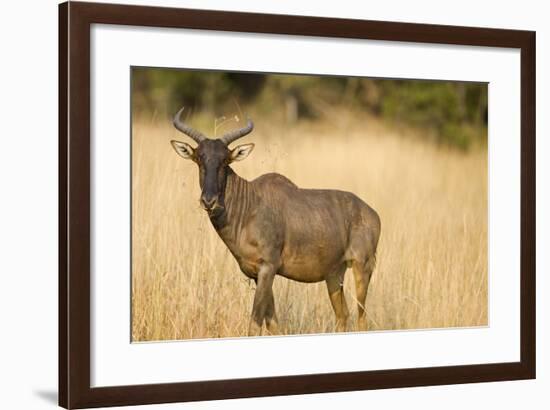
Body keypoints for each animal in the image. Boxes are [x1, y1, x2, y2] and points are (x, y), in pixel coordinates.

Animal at [170, 107, 382, 334]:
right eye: (199, 158)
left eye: (225, 160)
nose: (209, 201)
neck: (250, 204)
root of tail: (372, 213)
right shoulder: (257, 274)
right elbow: (273, 323)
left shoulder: (268, 268)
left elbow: (255, 322)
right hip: (334, 274)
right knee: (343, 315)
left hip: (362, 267)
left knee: (361, 317)